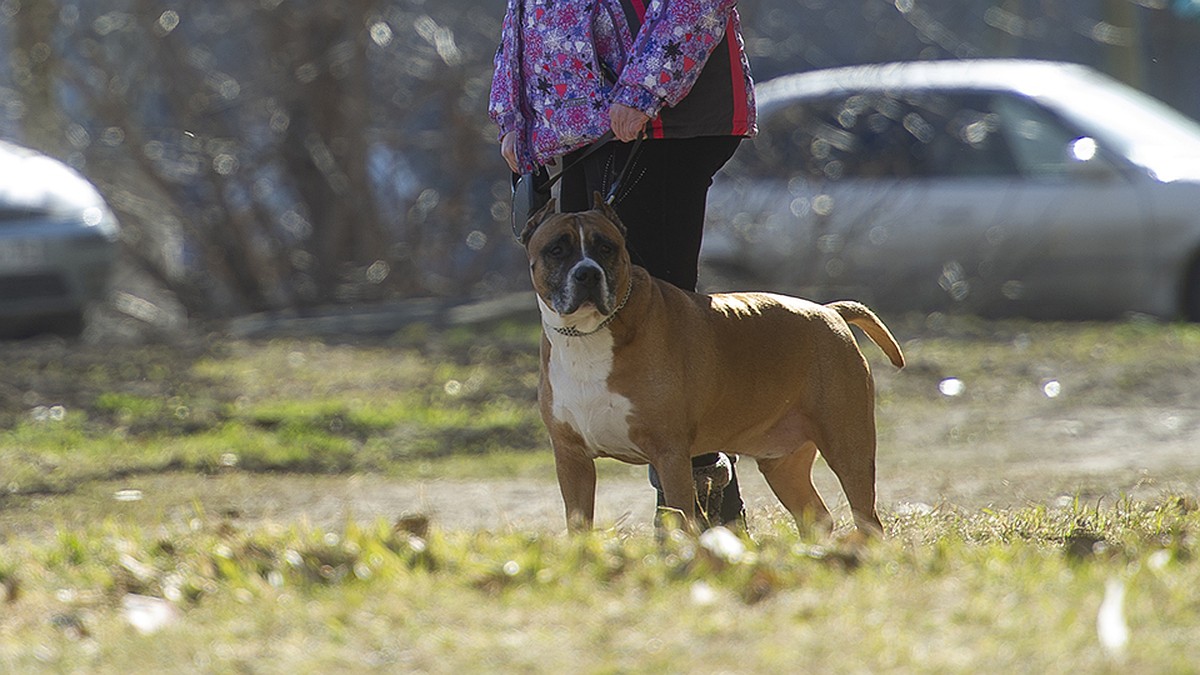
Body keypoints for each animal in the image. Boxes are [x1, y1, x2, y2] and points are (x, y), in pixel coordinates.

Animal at [520, 195, 902, 535]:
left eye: (606, 248)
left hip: (848, 448)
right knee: (816, 518)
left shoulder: (671, 456)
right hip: (783, 464)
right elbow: (578, 526)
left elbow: (680, 519)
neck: (587, 335)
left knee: (867, 519)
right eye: (557, 249)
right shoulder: (572, 461)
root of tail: (829, 311)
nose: (587, 273)